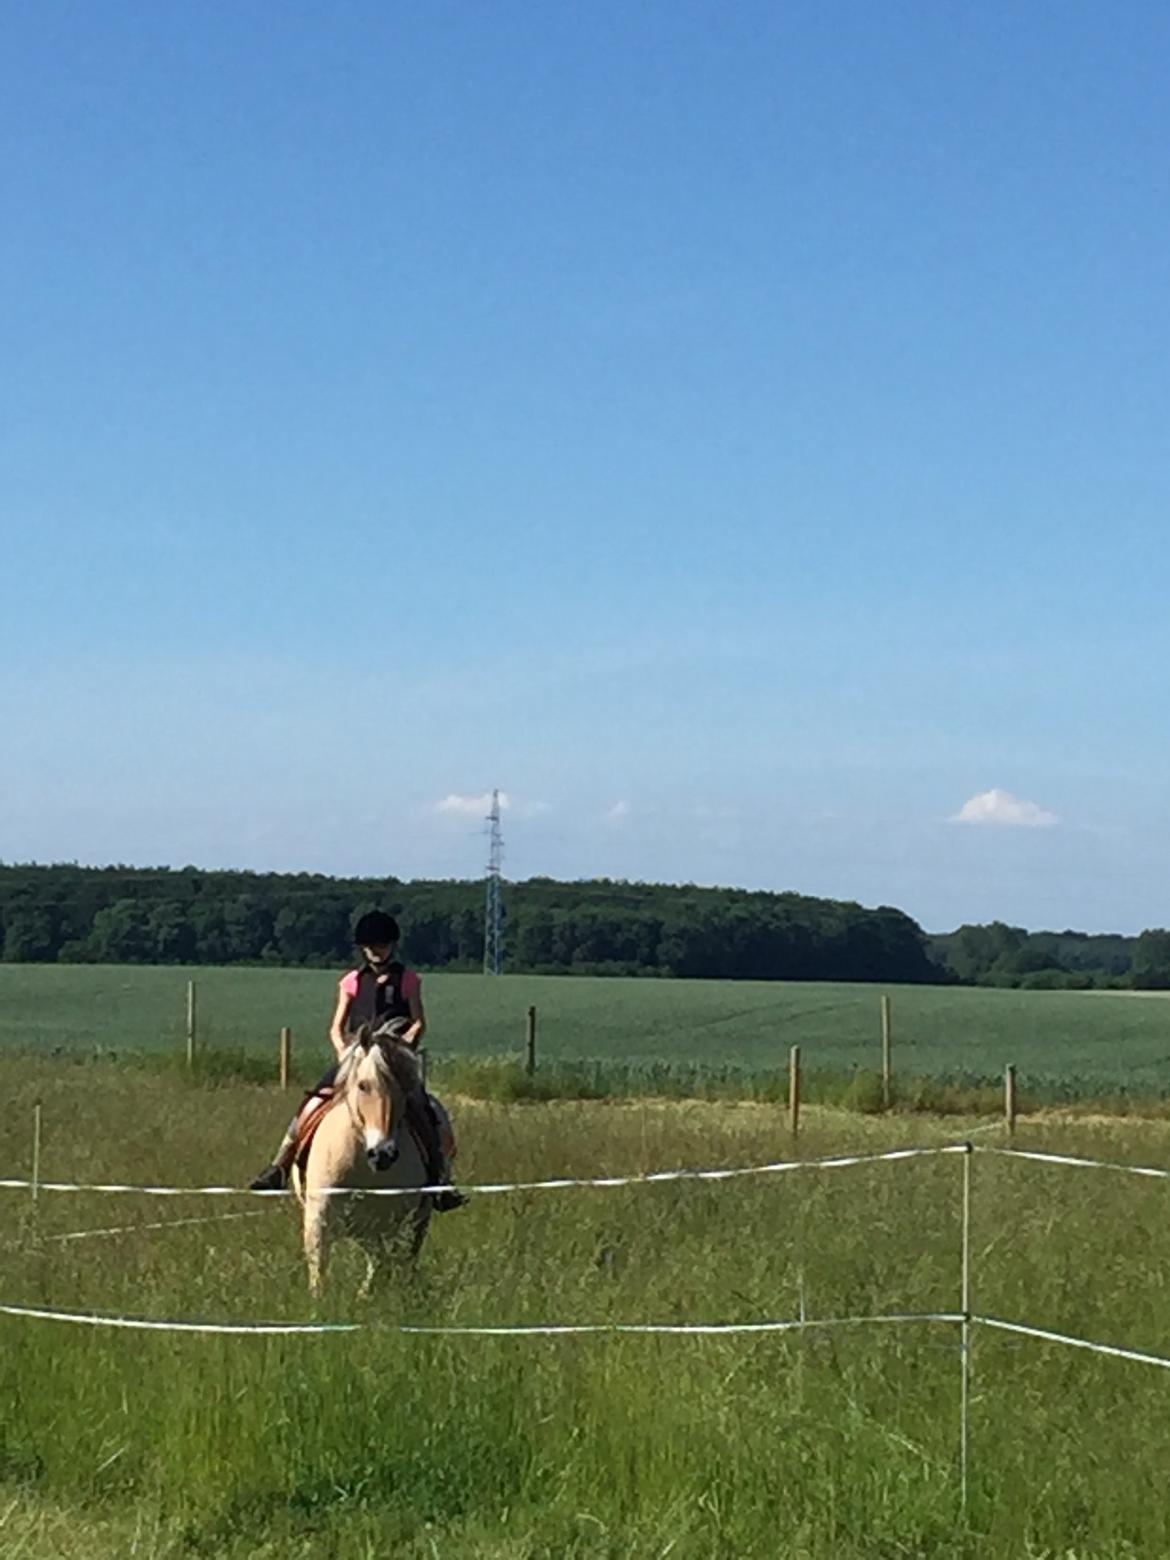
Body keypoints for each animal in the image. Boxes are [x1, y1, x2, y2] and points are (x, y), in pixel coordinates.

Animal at [293, 1023, 436, 1291]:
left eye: (406, 1089)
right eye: (363, 1085)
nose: (383, 1153)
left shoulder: (387, 1225)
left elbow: (379, 1268)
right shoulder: (319, 1221)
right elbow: (319, 1274)